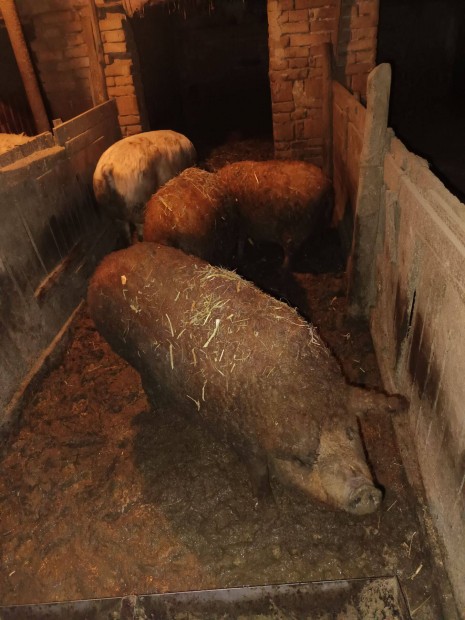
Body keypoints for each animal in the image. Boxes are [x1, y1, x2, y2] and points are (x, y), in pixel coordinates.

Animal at [87, 243, 404, 515]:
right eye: (303, 460)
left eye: (350, 432)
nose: (366, 492)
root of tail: (103, 265)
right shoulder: (243, 440)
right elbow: (258, 472)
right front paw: (267, 507)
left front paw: (402, 402)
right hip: (125, 349)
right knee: (146, 382)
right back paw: (158, 408)